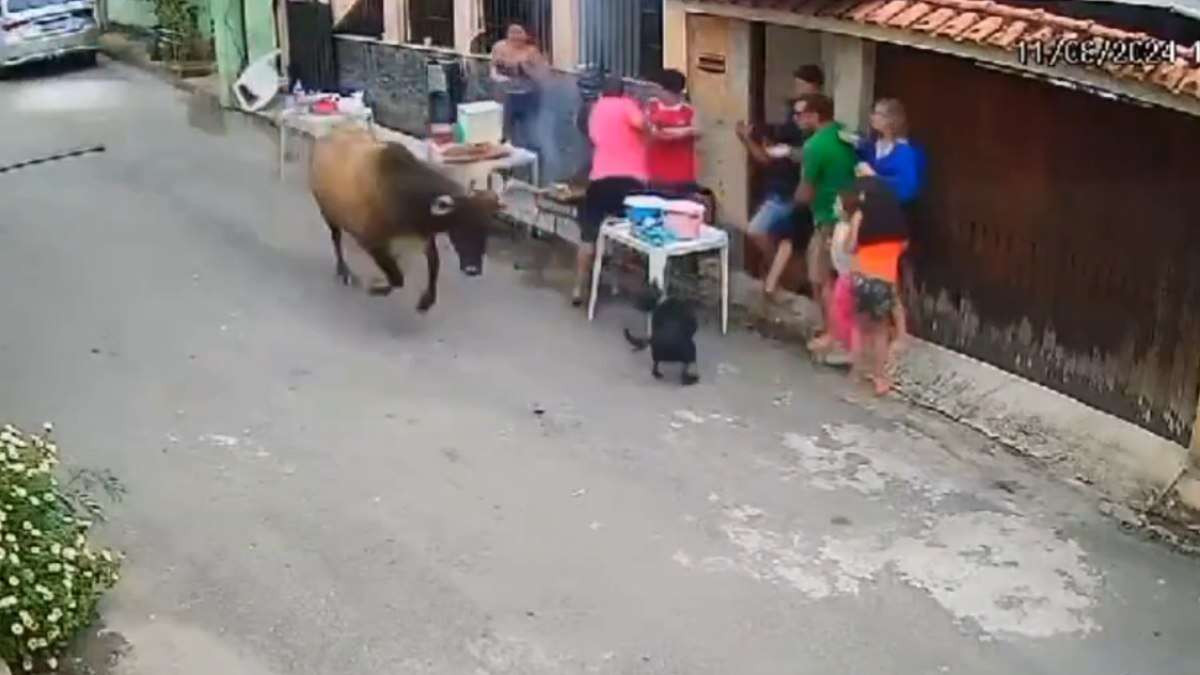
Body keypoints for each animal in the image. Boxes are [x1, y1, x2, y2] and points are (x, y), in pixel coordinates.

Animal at [312, 127, 499, 312]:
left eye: (487, 229)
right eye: (460, 228)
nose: (472, 269)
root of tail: (324, 140)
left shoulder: (424, 236)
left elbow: (434, 263)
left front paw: (426, 300)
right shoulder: (371, 242)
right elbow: (397, 278)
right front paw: (378, 288)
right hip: (328, 213)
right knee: (336, 239)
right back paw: (344, 272)